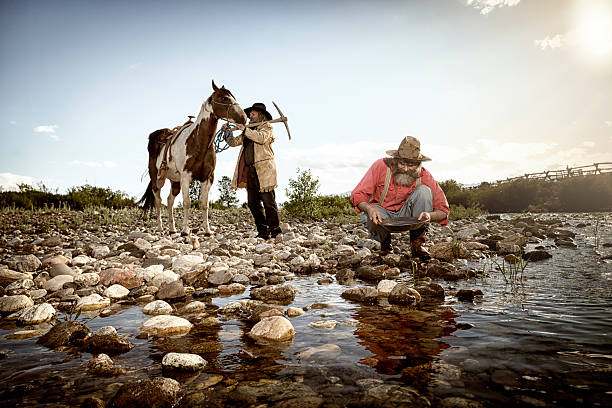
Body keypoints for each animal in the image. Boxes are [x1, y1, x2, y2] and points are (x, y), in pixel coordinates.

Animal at [139, 79, 246, 234]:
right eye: (224, 98)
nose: (243, 118)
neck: (198, 142)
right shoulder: (186, 176)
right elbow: (187, 203)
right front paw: (185, 230)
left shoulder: (207, 178)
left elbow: (205, 204)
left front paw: (207, 230)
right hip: (156, 178)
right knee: (158, 200)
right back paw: (160, 227)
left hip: (174, 180)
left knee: (169, 200)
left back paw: (172, 229)